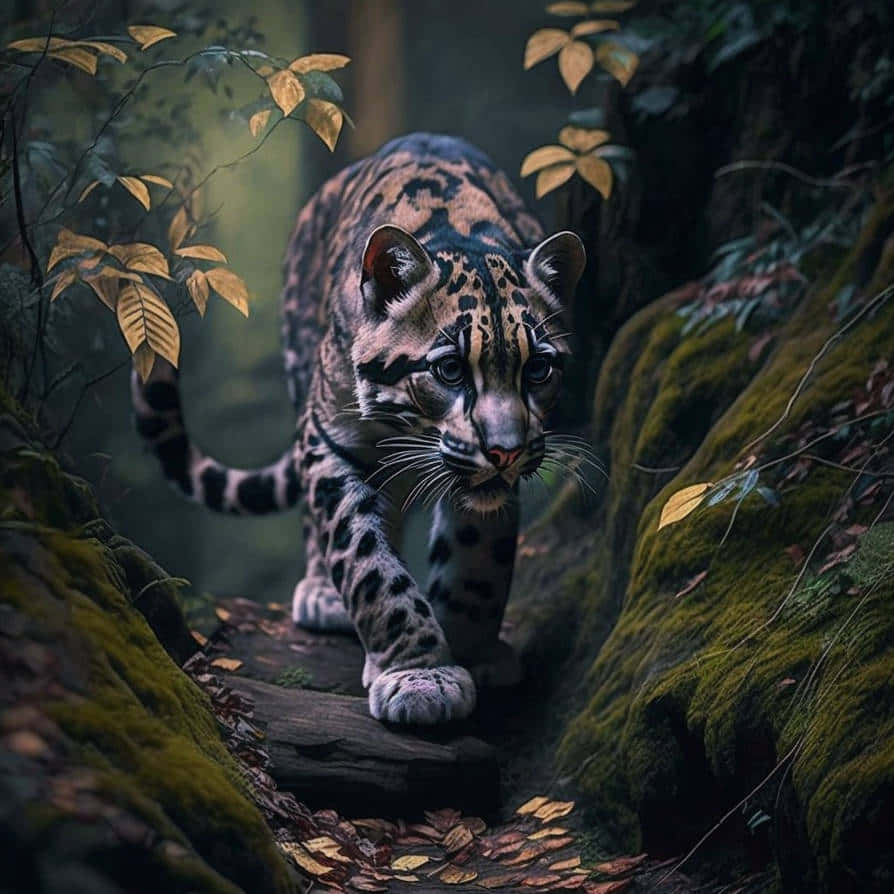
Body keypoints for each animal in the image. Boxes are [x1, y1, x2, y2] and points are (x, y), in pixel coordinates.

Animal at [131, 133, 585, 725]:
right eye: (450, 370)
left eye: (537, 370)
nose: (505, 452)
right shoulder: (329, 444)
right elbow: (366, 560)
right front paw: (420, 674)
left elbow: (476, 562)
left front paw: (471, 651)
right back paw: (323, 594)